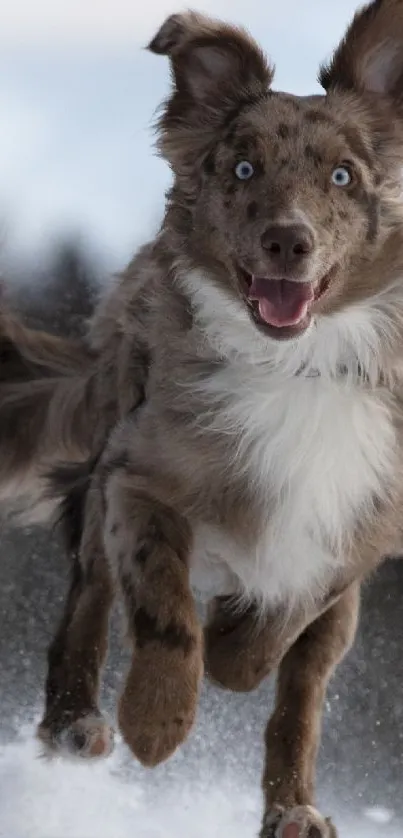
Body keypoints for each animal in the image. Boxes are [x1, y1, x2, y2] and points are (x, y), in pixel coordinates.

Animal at [0, 3, 403, 836]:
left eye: (341, 176)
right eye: (243, 170)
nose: (287, 241)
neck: (295, 364)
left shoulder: (356, 529)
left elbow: (279, 631)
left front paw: (233, 646)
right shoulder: (138, 480)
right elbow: (162, 610)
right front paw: (155, 722)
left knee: (299, 702)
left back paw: (294, 809)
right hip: (102, 477)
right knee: (87, 603)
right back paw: (76, 726)